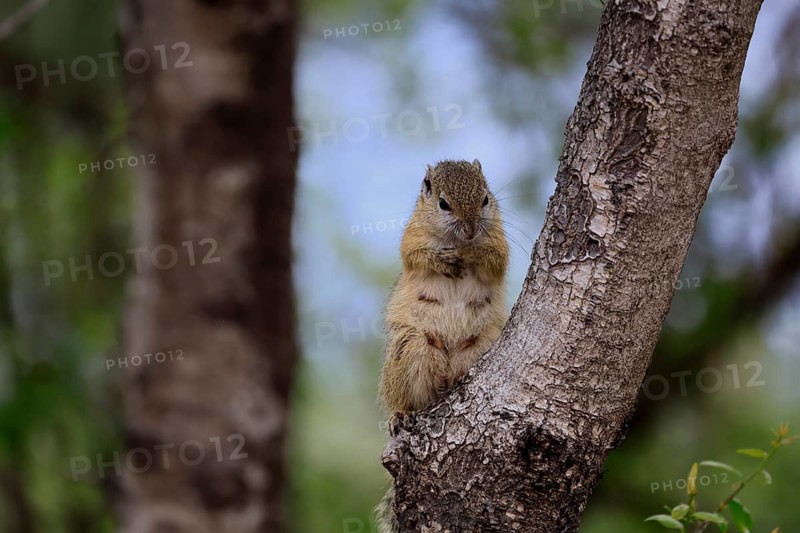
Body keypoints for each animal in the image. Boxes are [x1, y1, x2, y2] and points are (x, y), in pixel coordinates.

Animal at [376, 159, 510, 532]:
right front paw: (444, 259)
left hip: (478, 348)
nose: (470, 230)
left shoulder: (500, 242)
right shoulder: (412, 236)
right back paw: (401, 414)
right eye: (443, 203)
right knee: (405, 397)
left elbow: (495, 259)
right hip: (412, 349)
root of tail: (445, 378)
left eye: (484, 198)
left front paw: (473, 252)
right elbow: (417, 255)